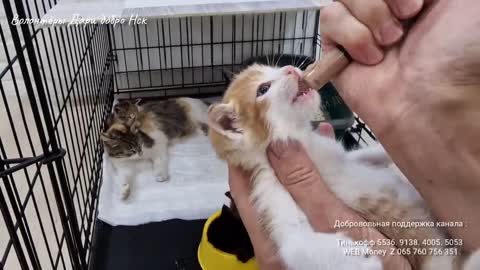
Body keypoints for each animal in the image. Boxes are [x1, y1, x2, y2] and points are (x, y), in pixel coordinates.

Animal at [207, 63, 480, 270]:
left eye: (274, 67)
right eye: (263, 89)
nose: (292, 69)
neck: (304, 141)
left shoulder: (341, 155)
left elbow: (365, 155)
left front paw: (385, 150)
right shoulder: (272, 192)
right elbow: (295, 245)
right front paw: (361, 259)